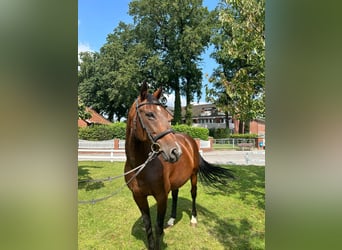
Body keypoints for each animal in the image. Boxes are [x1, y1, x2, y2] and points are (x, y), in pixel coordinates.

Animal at [124, 81, 234, 249]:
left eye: (168, 117)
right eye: (149, 114)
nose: (175, 151)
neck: (141, 166)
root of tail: (190, 140)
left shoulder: (161, 196)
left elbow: (158, 227)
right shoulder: (138, 197)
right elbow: (148, 226)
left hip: (193, 176)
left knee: (193, 193)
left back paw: (193, 219)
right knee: (175, 194)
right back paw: (172, 219)